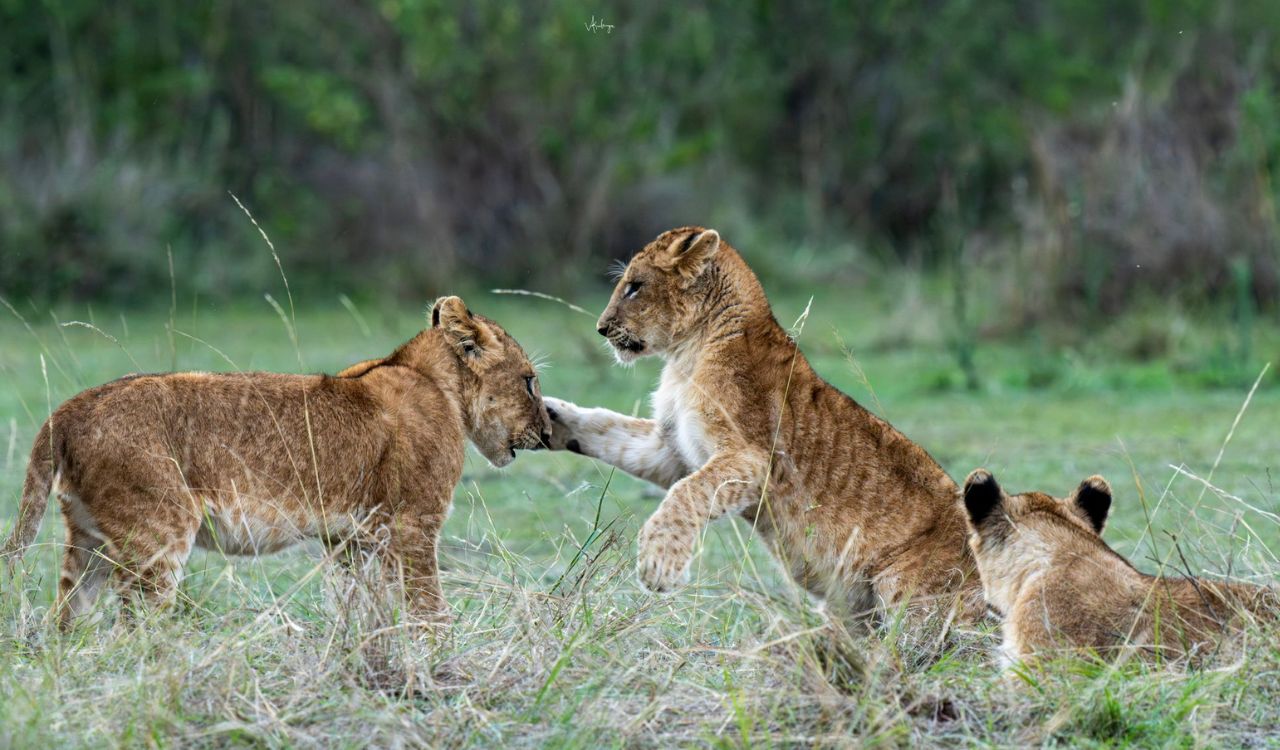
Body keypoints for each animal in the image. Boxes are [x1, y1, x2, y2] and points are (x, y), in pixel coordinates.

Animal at [1, 295, 551, 629]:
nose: (547, 433)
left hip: (89, 538)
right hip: (158, 532)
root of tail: (69, 409)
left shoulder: (350, 540)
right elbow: (428, 607)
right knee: (135, 627)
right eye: (529, 381)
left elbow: (357, 604)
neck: (435, 383)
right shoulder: (414, 525)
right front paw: (439, 659)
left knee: (68, 614)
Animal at [542, 226, 984, 624]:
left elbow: (687, 493)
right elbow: (605, 428)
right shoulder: (671, 450)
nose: (601, 328)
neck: (686, 355)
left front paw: (658, 562)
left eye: (634, 287)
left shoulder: (753, 457)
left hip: (912, 596)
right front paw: (549, 416)